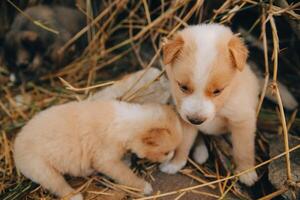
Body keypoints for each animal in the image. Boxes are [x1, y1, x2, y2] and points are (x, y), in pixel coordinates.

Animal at [13, 101, 183, 199]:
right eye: (166, 152)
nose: (171, 157)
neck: (126, 123)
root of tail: (15, 147)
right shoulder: (106, 160)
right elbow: (125, 175)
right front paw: (143, 186)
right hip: (43, 170)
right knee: (58, 185)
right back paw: (75, 196)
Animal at [159, 23, 260, 186]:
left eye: (217, 91)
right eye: (183, 87)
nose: (196, 120)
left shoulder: (242, 119)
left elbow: (244, 149)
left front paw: (246, 172)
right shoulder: (185, 119)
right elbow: (183, 143)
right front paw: (175, 163)